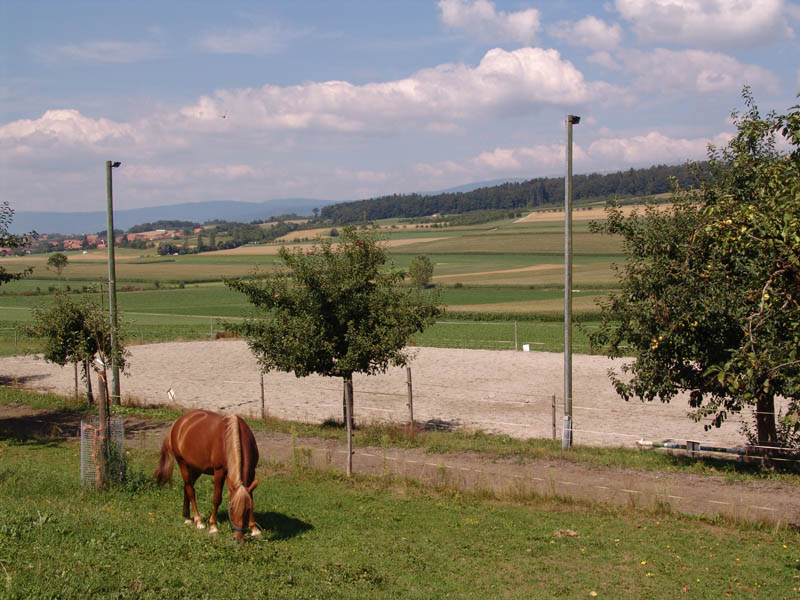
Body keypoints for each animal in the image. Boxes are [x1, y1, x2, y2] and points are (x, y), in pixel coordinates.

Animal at [153, 410, 260, 540]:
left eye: (248, 509)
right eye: (231, 508)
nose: (237, 538)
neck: (229, 438)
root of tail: (179, 422)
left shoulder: (252, 472)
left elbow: (251, 497)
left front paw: (254, 528)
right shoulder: (219, 471)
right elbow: (217, 499)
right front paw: (213, 526)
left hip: (196, 468)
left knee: (187, 487)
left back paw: (187, 517)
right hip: (182, 464)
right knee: (190, 490)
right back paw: (198, 521)